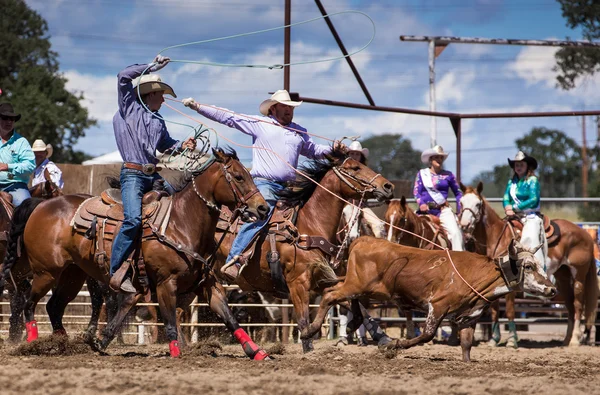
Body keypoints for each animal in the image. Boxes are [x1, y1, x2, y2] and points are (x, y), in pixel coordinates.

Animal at [0, 148, 272, 358]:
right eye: (238, 176)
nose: (263, 208)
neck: (180, 223)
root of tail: (42, 205)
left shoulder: (207, 284)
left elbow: (229, 317)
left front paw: (256, 351)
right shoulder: (165, 283)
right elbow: (169, 320)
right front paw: (176, 352)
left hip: (72, 275)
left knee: (53, 307)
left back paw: (64, 343)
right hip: (46, 272)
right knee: (28, 304)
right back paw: (34, 343)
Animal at [214, 149, 394, 352]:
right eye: (356, 167)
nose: (387, 186)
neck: (308, 226)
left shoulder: (322, 280)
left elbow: (350, 304)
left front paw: (380, 336)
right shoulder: (297, 283)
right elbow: (302, 321)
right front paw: (308, 339)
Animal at [302, 237, 556, 364]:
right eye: (529, 266)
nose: (552, 289)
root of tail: (362, 240)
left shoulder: (469, 317)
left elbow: (466, 344)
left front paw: (467, 364)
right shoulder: (438, 305)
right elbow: (427, 335)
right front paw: (394, 346)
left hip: (365, 289)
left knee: (343, 296)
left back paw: (352, 324)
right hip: (357, 284)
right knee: (330, 295)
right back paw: (309, 330)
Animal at [458, 183, 596, 346]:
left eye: (478, 204)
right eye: (461, 203)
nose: (464, 225)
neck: (496, 238)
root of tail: (585, 233)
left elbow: (510, 309)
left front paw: (512, 340)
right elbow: (494, 309)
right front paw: (494, 339)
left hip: (578, 276)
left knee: (578, 305)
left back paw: (574, 340)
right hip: (562, 276)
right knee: (570, 307)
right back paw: (566, 340)